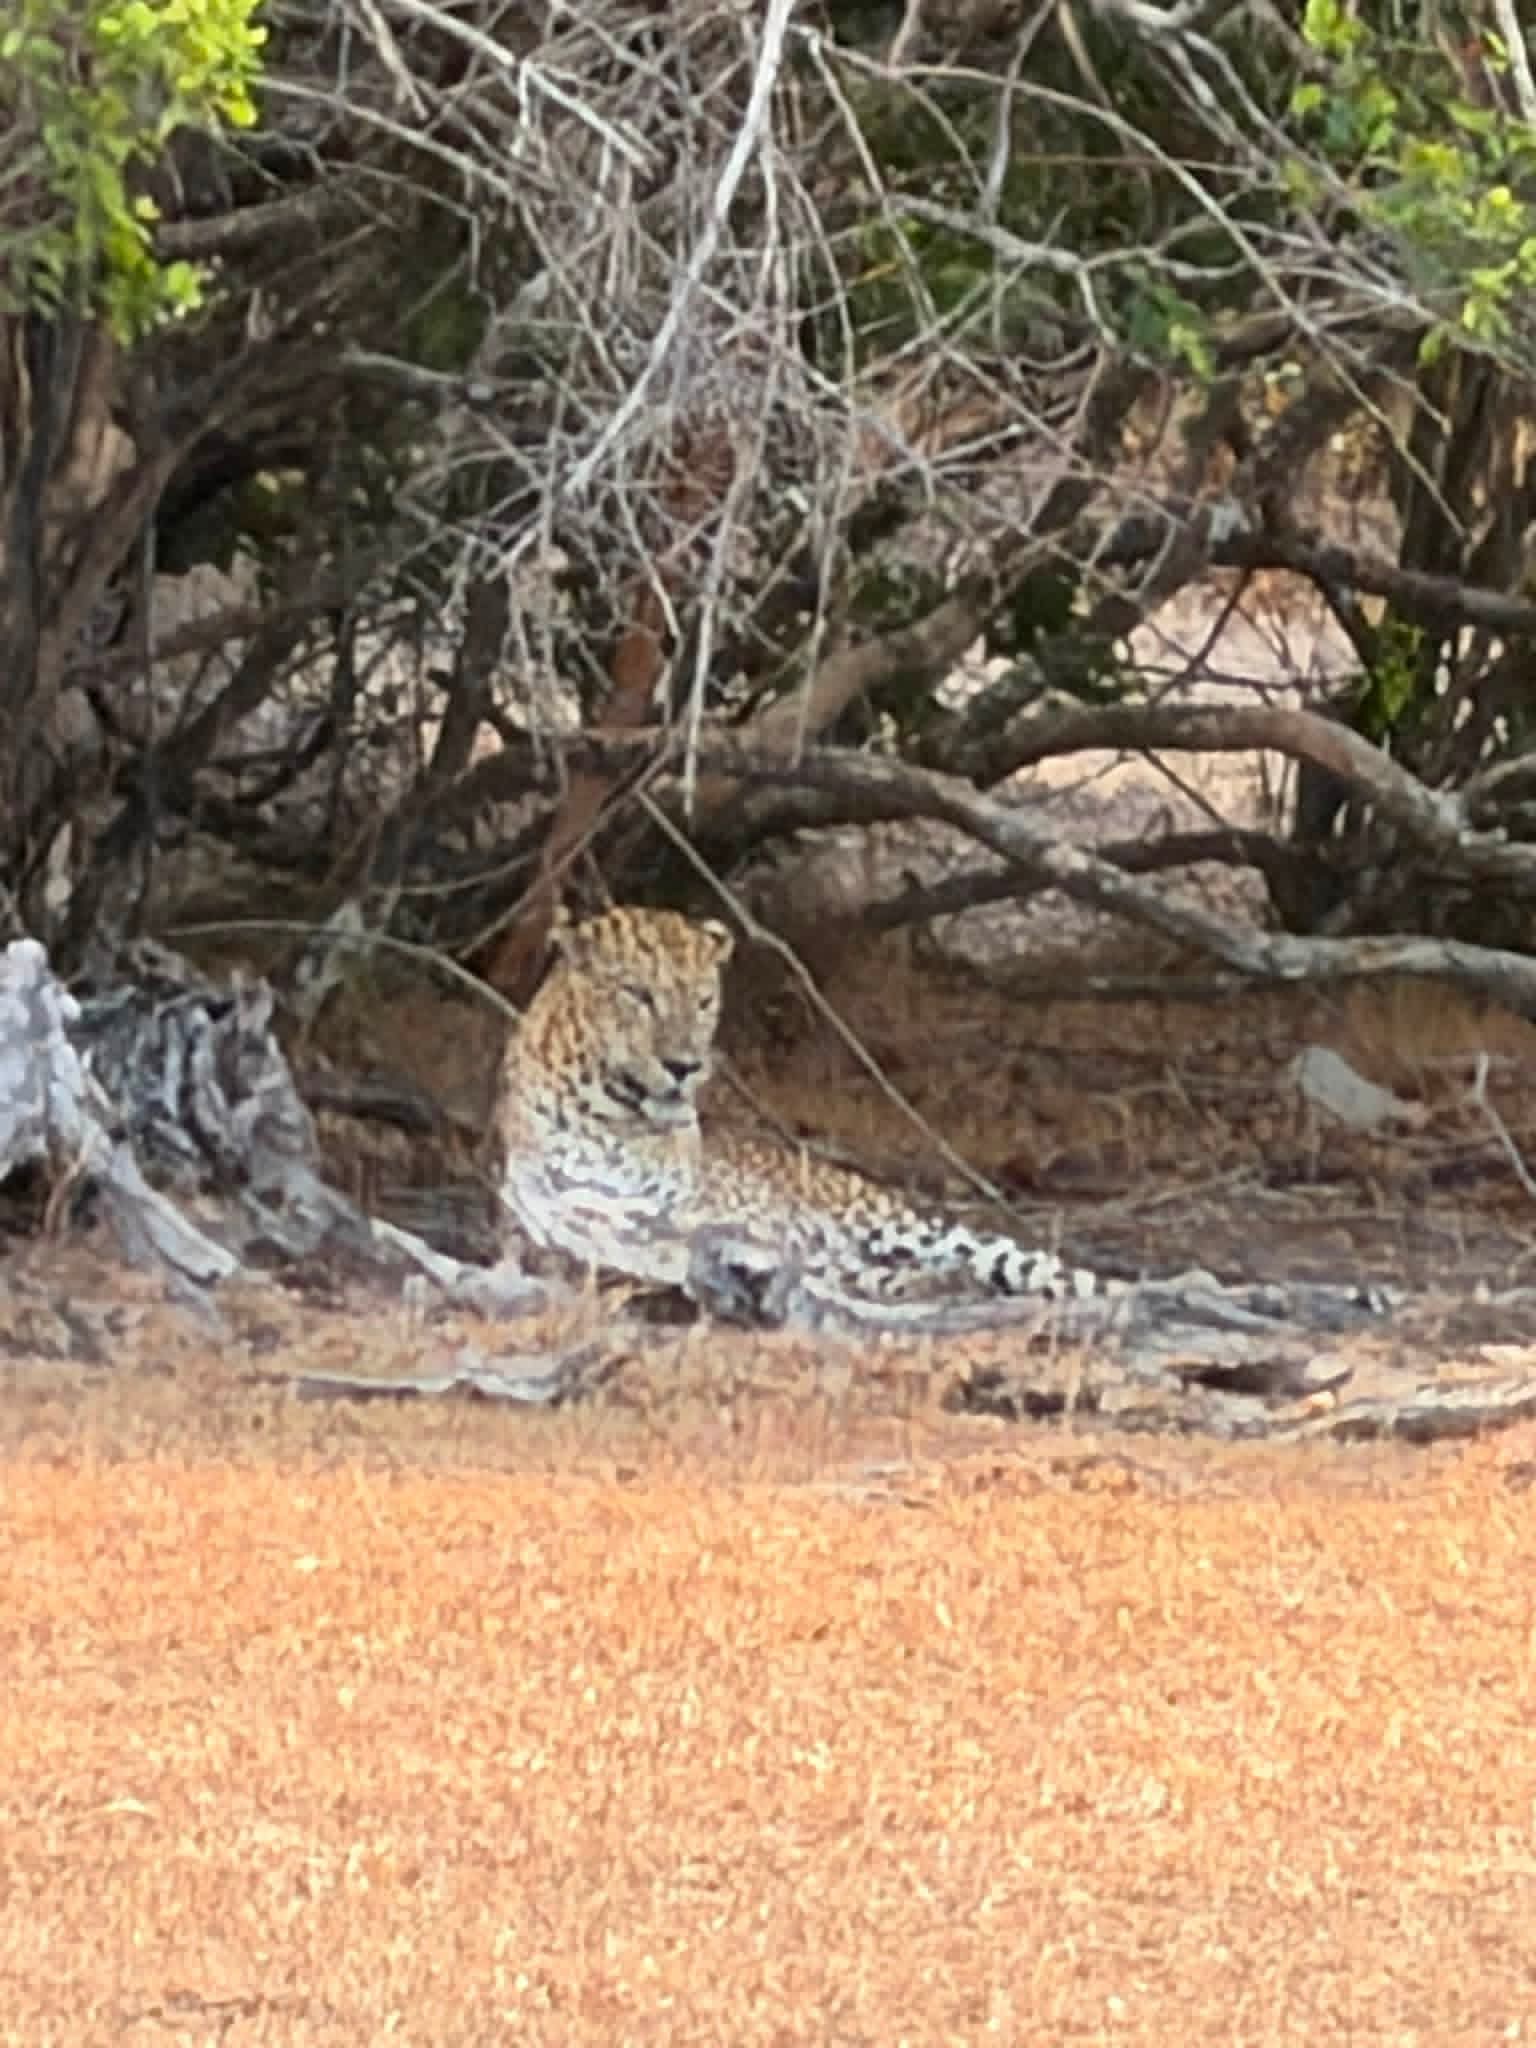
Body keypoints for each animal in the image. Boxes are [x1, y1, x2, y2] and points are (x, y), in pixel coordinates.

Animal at [495, 905, 1101, 1315]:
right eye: (636, 994)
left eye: (704, 1000)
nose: (684, 1065)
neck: (621, 1117)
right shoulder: (563, 1198)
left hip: (907, 1226)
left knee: (1043, 1270)